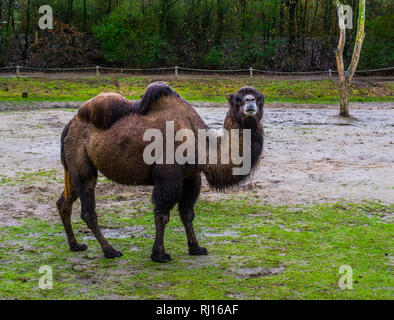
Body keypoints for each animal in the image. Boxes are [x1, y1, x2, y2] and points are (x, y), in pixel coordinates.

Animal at [56, 83, 264, 262]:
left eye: (260, 98)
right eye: (237, 99)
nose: (250, 101)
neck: (200, 143)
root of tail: (69, 125)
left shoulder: (191, 177)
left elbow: (187, 213)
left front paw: (196, 248)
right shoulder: (168, 177)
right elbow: (162, 215)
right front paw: (159, 254)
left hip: (73, 168)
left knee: (64, 202)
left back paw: (75, 245)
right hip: (82, 164)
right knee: (88, 209)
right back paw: (110, 251)